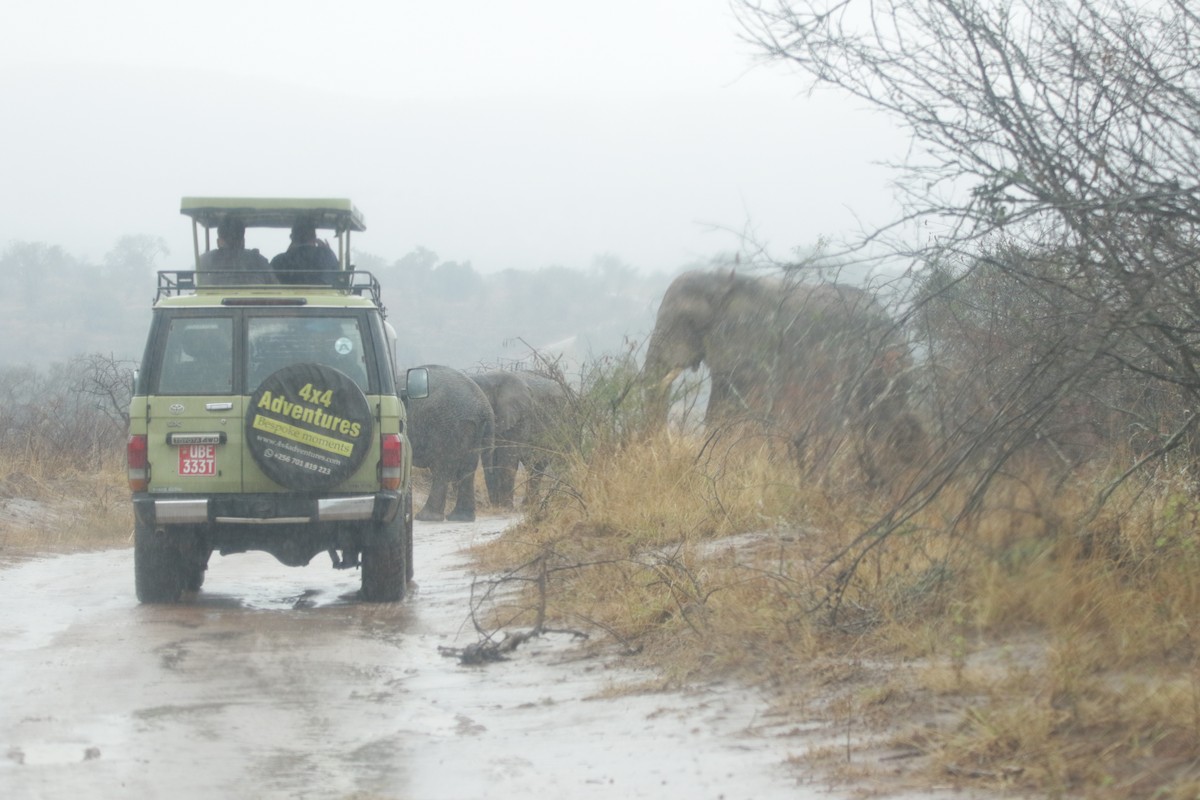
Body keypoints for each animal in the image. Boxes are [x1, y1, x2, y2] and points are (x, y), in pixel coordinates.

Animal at [406, 364, 495, 522]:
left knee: (442, 466)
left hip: (447, 425)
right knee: (467, 469)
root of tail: (484, 408)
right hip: (471, 426)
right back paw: (460, 517)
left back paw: (427, 517)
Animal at [471, 370, 570, 507]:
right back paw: (529, 504)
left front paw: (506, 507)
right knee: (537, 465)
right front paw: (497, 506)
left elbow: (507, 460)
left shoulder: (521, 416)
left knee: (561, 461)